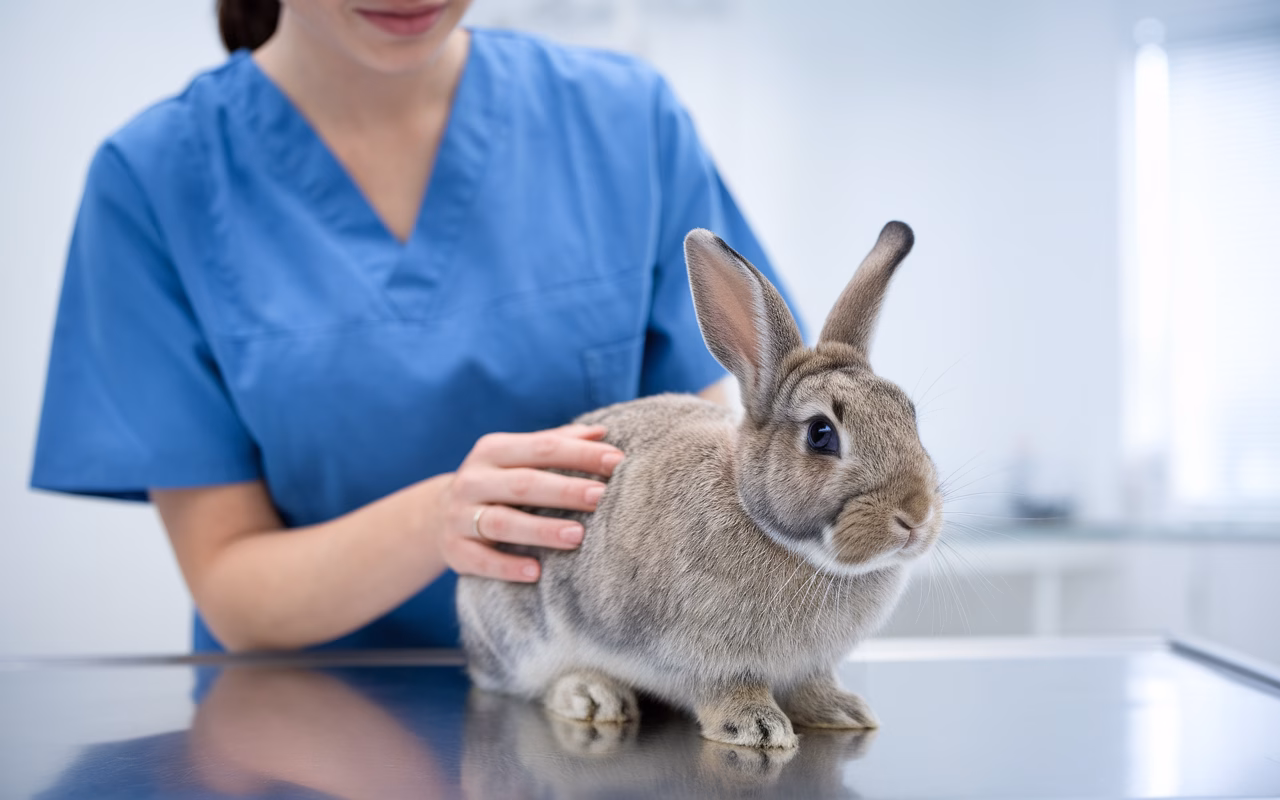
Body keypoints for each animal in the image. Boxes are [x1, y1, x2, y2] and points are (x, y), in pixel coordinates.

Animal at [457, 221, 941, 750]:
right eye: (821, 434)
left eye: (910, 416)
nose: (915, 517)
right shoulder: (695, 657)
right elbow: (724, 690)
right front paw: (758, 726)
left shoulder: (809, 666)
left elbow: (812, 685)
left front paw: (841, 710)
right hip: (523, 636)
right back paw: (592, 695)